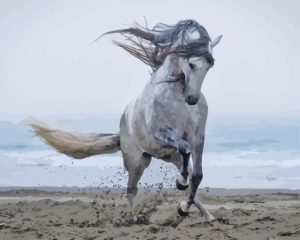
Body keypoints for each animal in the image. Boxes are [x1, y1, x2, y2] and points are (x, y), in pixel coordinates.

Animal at [30, 19, 221, 222]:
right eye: (192, 64)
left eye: (210, 65)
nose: (192, 99)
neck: (176, 96)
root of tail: (121, 132)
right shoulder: (162, 132)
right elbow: (185, 150)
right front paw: (181, 186)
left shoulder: (197, 137)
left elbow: (197, 175)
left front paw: (184, 206)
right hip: (136, 161)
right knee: (131, 189)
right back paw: (134, 217)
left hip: (169, 155)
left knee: (187, 173)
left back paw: (204, 214)